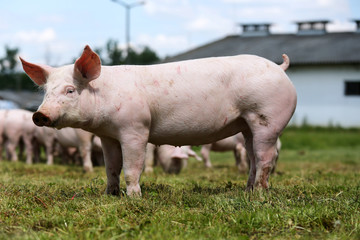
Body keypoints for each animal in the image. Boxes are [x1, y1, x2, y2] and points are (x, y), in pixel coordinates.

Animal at [19, 45, 296, 197]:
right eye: (46, 91)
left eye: (70, 90)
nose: (39, 115)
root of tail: (279, 68)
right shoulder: (107, 135)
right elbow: (111, 167)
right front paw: (109, 195)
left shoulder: (135, 129)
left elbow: (132, 167)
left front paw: (134, 198)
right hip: (246, 125)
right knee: (252, 156)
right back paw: (248, 191)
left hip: (268, 119)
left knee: (265, 157)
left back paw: (258, 194)